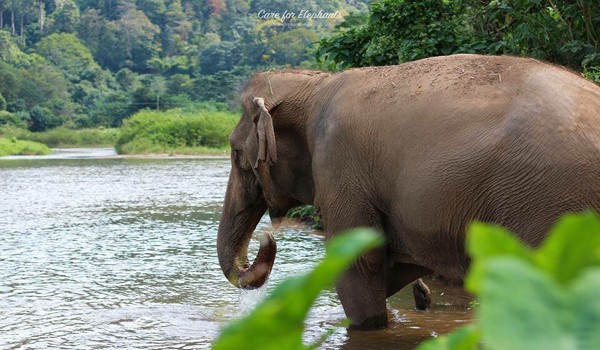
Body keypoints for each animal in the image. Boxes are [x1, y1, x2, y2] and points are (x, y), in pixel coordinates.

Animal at [216, 54, 600, 330]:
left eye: (235, 153)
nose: (267, 239)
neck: (312, 85)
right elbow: (393, 263)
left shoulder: (340, 169)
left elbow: (358, 264)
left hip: (553, 205)